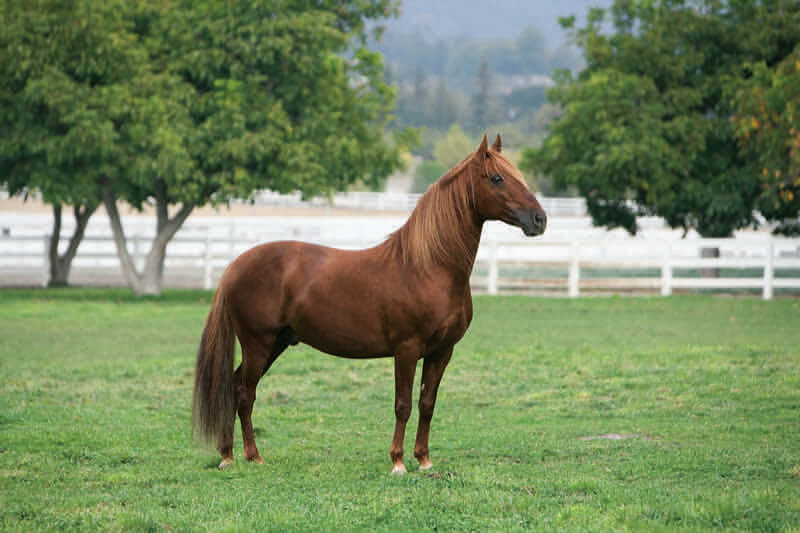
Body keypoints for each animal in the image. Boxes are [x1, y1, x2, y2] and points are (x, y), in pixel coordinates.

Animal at [193, 134, 547, 473]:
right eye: (497, 178)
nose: (539, 219)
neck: (428, 266)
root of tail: (235, 265)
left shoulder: (442, 352)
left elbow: (427, 404)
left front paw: (424, 459)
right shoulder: (407, 350)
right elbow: (403, 405)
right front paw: (398, 462)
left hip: (275, 343)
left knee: (235, 385)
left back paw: (229, 454)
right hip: (258, 344)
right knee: (243, 392)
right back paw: (249, 457)